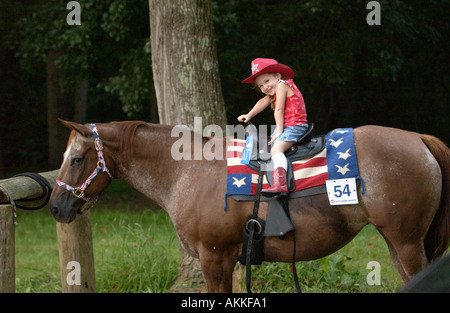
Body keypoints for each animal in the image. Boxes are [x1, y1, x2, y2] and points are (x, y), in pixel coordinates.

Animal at [49, 118, 450, 292]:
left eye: (77, 159)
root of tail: (418, 138)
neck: (187, 169)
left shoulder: (214, 258)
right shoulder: (226, 260)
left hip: (407, 243)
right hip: (398, 244)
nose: (55, 207)